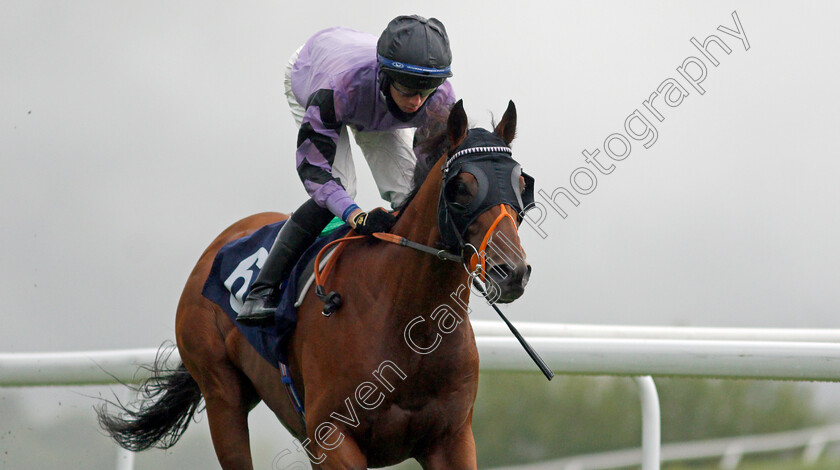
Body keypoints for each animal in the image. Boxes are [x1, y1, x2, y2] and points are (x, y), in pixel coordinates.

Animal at [97, 98, 532, 466]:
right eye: (461, 187)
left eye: (521, 184)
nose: (511, 271)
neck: (408, 324)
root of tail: (219, 244)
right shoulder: (332, 438)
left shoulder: (451, 439)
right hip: (222, 395)